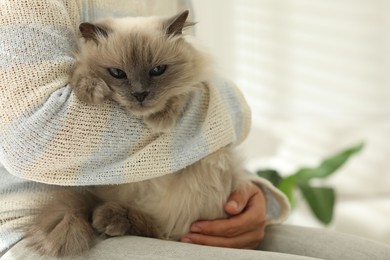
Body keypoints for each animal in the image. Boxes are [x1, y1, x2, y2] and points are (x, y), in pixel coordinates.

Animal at [23, 10, 253, 258]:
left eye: (157, 70)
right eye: (117, 73)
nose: (140, 94)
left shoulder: (198, 81)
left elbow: (181, 92)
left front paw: (161, 119)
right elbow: (81, 70)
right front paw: (90, 90)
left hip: (210, 167)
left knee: (163, 231)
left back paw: (111, 219)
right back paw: (108, 218)